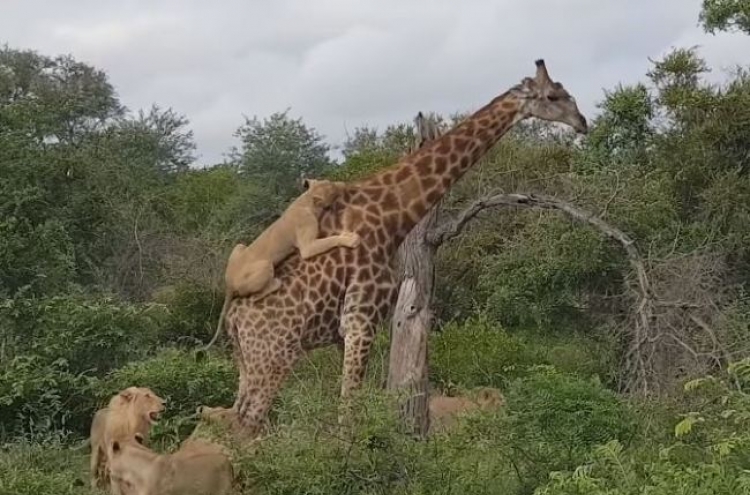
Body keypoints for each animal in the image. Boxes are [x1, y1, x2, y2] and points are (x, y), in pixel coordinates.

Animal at [217, 59, 588, 438]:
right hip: (275, 356)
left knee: (234, 416)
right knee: (247, 423)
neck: (391, 218)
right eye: (553, 95)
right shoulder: (361, 319)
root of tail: (232, 318)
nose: (583, 123)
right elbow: (349, 411)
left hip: (246, 360)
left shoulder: (346, 330)